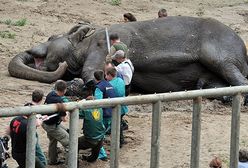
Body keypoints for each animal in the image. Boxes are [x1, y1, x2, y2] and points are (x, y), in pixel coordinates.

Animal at [7, 16, 248, 96]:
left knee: (229, 69)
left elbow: (90, 70)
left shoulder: (104, 41)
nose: (32, 53)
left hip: (221, 49)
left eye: (51, 36)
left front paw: (84, 84)